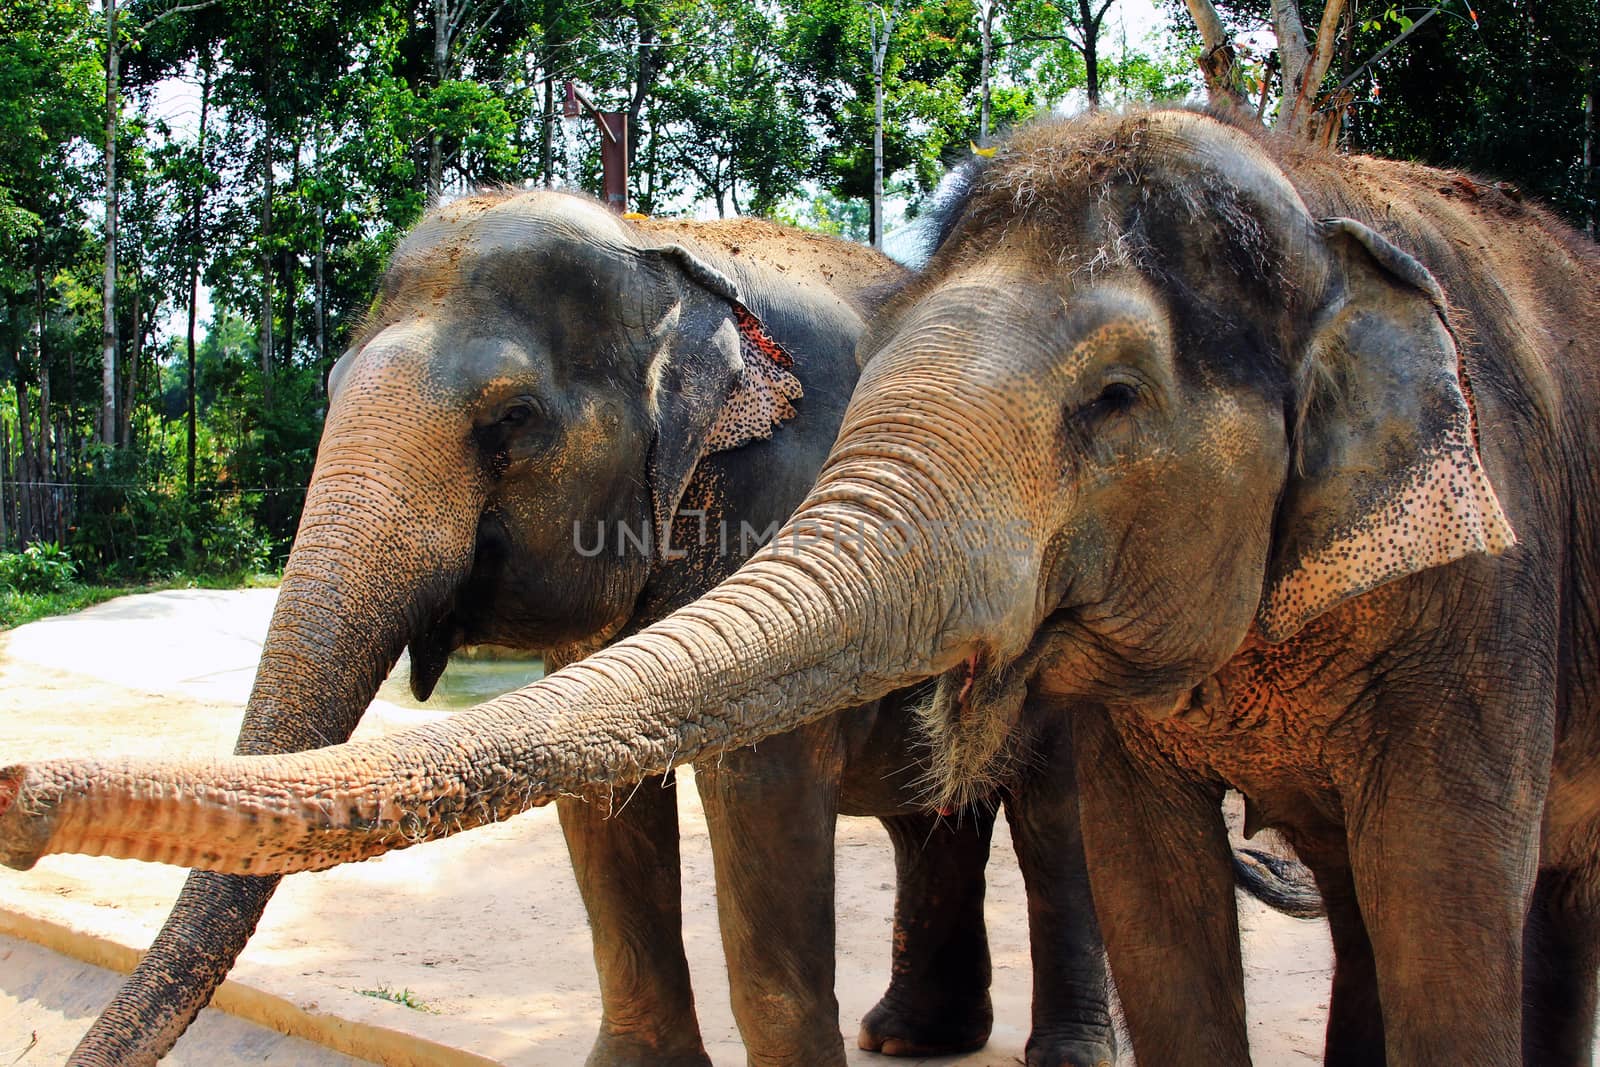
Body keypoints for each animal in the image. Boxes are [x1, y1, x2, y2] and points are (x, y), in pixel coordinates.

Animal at [9, 191, 1126, 1067]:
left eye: (510, 421)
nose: (18, 794)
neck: (671, 249)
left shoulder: (792, 501)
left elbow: (760, 789)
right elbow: (598, 795)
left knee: (1057, 815)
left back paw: (1051, 1050)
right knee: (933, 811)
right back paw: (908, 1036)